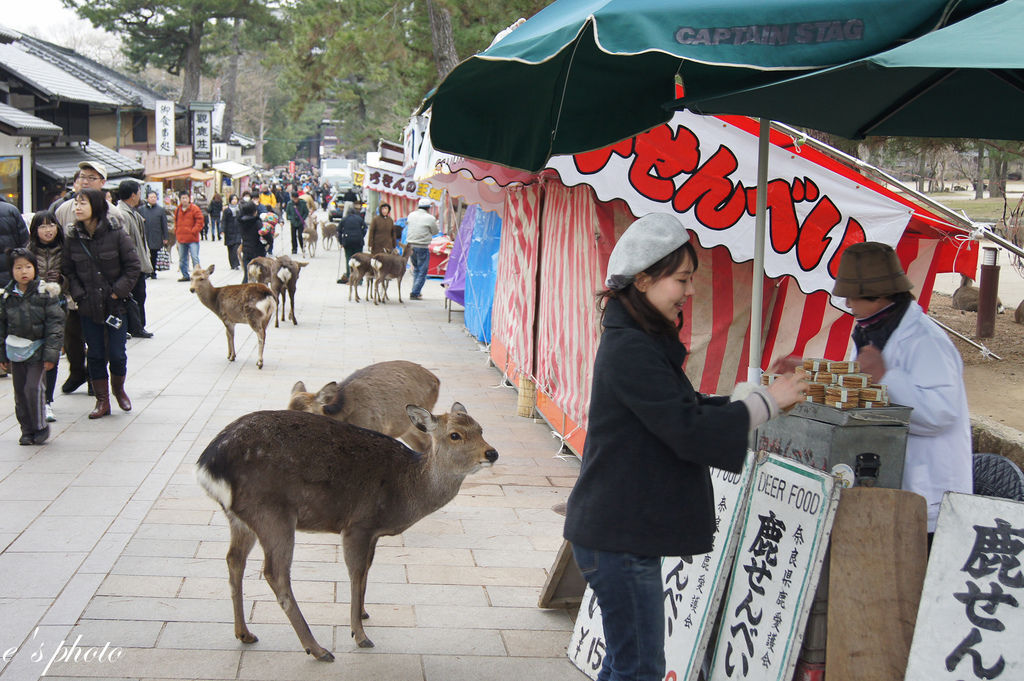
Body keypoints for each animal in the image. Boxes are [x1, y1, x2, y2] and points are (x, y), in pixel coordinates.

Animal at [193, 403, 497, 659]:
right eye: (455, 435)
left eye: (481, 429)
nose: (491, 453)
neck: (406, 489)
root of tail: (207, 466)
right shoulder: (358, 524)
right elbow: (355, 573)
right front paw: (360, 635)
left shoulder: (373, 533)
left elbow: (366, 572)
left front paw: (362, 613)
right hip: (272, 513)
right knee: (275, 573)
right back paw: (317, 649)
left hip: (239, 518)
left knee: (234, 560)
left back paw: (244, 633)